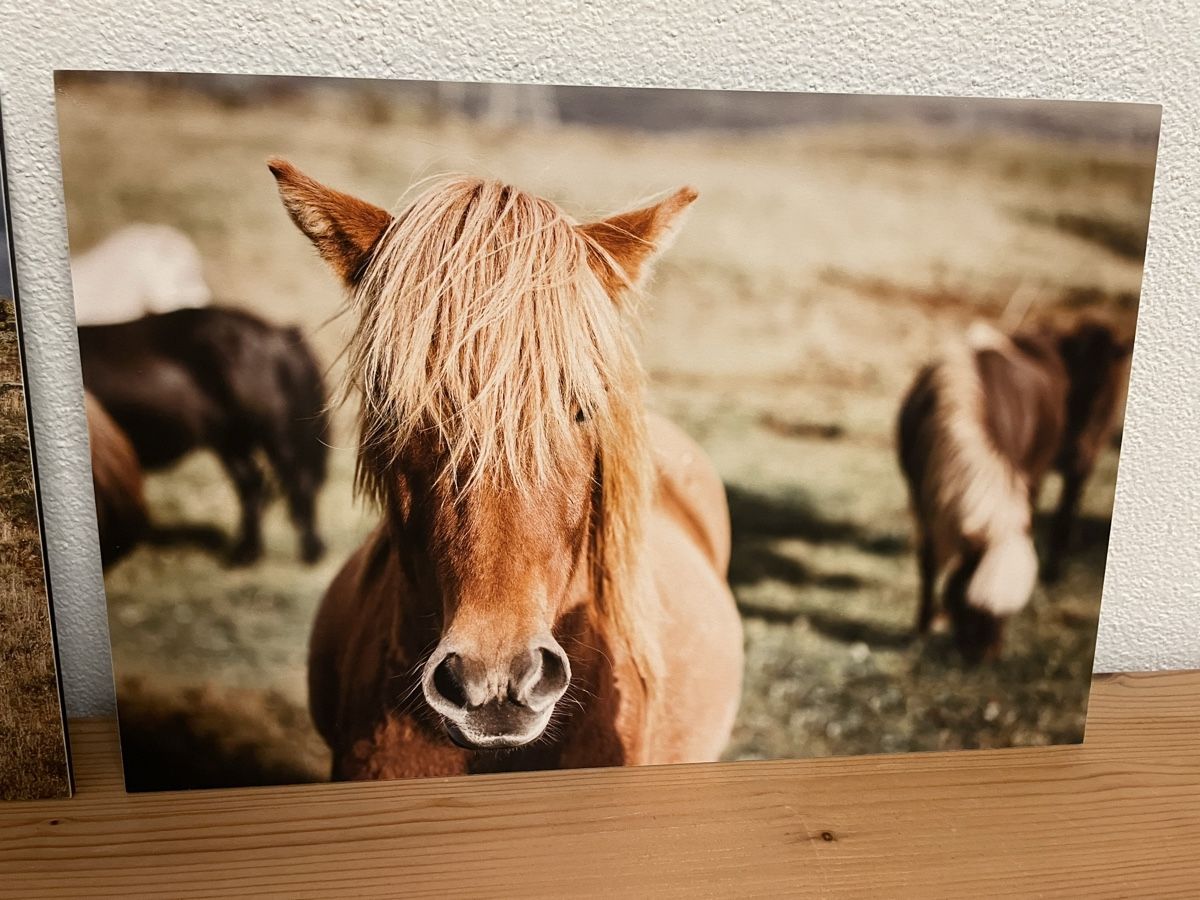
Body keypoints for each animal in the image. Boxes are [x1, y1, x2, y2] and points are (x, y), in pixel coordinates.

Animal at [896, 317, 1131, 662]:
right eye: (969, 605)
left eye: (1007, 615)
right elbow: (928, 563)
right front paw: (924, 625)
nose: (985, 657)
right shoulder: (921, 497)